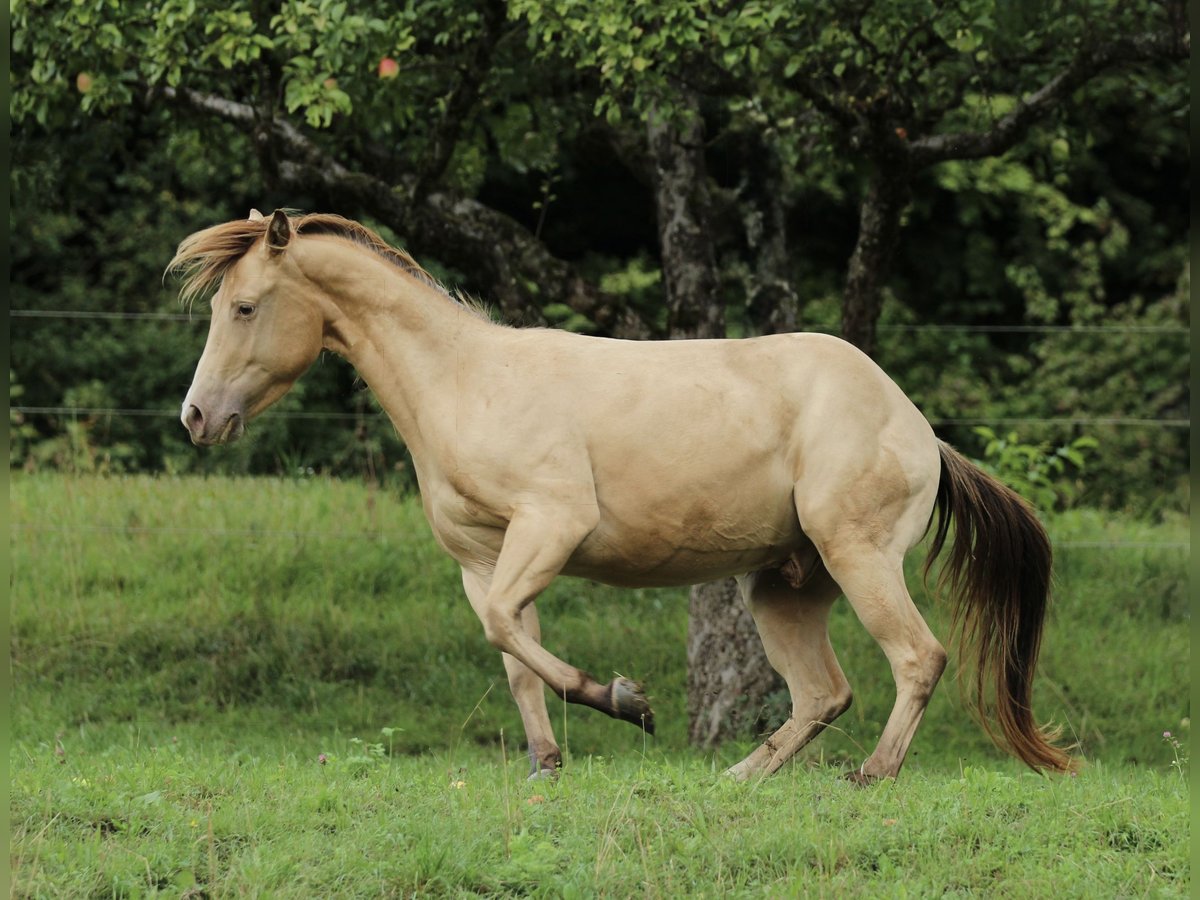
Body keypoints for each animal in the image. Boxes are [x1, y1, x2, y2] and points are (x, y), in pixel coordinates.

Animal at [171, 209, 1073, 782]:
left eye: (244, 306)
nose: (197, 417)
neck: (463, 381)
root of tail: (922, 433)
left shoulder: (552, 525)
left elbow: (514, 634)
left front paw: (625, 702)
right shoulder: (482, 559)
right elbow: (512, 655)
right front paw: (546, 767)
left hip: (858, 556)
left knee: (917, 658)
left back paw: (872, 775)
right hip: (785, 585)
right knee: (825, 692)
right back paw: (738, 779)